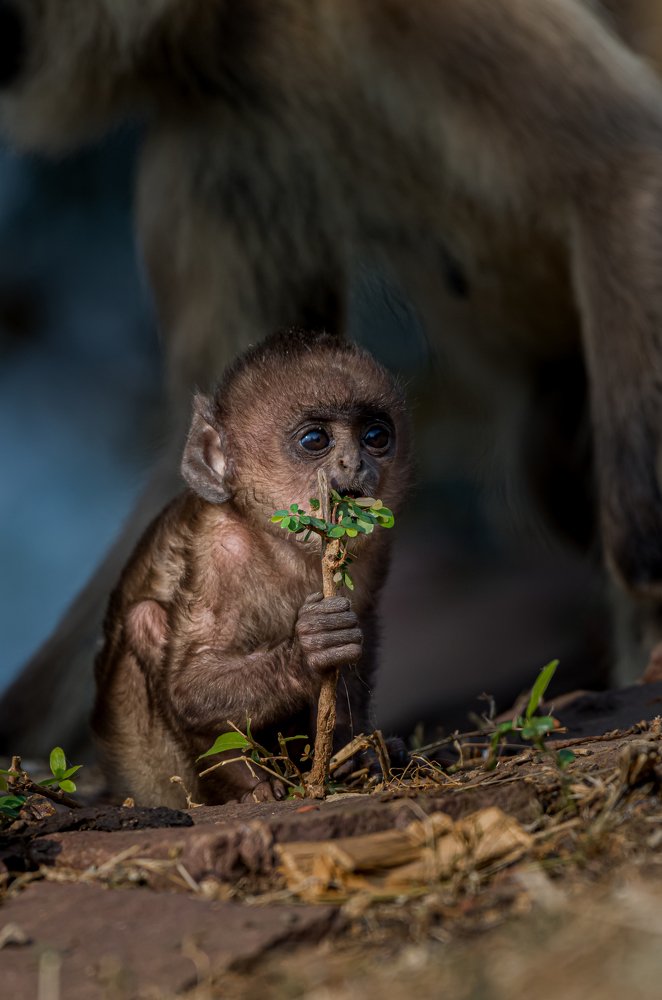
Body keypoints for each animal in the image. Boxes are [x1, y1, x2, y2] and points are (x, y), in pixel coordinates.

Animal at [91, 330, 411, 807]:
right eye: (315, 441)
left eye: (375, 435)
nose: (355, 464)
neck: (281, 548)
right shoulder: (219, 552)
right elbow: (189, 686)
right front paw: (309, 650)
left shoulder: (372, 552)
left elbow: (363, 631)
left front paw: (358, 755)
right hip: (149, 775)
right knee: (146, 620)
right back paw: (249, 783)